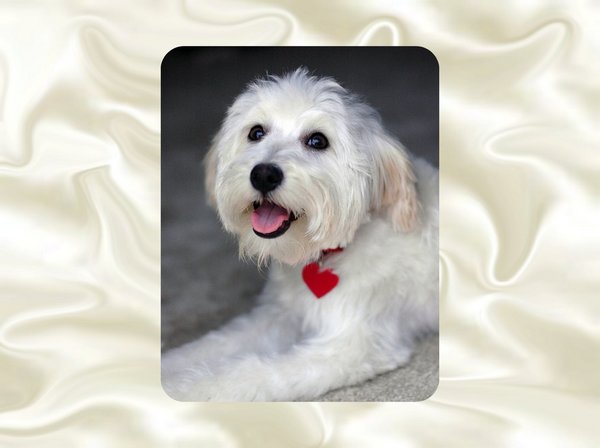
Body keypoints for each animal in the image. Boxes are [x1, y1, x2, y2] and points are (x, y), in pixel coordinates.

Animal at [162, 68, 438, 401]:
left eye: (318, 141)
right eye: (256, 132)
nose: (263, 174)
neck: (327, 253)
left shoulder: (353, 348)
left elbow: (247, 374)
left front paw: (184, 387)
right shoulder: (277, 316)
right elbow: (211, 345)